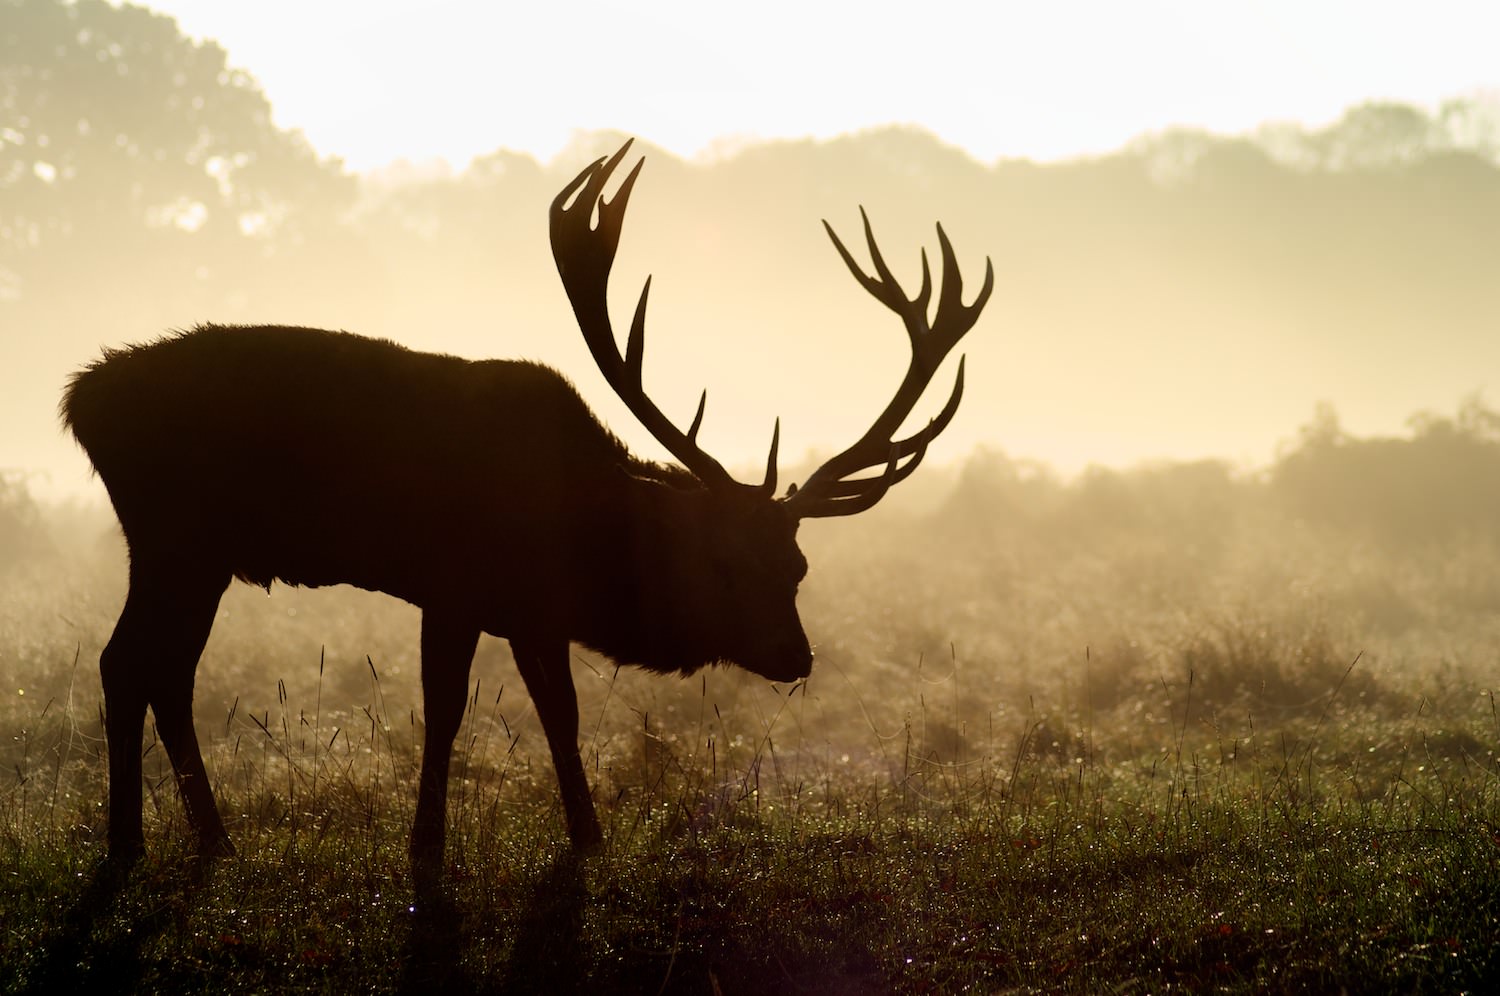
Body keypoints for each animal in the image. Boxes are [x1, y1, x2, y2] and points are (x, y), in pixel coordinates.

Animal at [64, 138, 990, 870]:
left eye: (798, 565)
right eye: (725, 561)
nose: (796, 655)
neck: (579, 528)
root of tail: (80, 401)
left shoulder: (534, 612)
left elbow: (562, 714)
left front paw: (588, 833)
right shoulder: (453, 586)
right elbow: (445, 711)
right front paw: (427, 844)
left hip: (196, 553)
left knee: (164, 670)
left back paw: (207, 838)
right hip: (173, 538)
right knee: (128, 662)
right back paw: (132, 841)